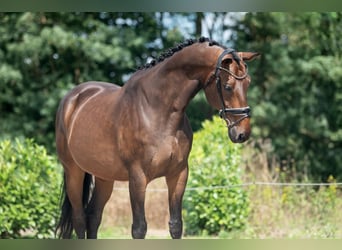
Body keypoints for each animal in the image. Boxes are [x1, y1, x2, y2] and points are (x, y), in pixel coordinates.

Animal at [54, 36, 258, 238]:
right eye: (228, 86)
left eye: (248, 83)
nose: (242, 133)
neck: (158, 110)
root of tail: (72, 98)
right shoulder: (137, 178)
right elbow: (139, 228)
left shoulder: (178, 174)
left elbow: (176, 225)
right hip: (73, 172)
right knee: (80, 218)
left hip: (104, 176)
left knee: (93, 217)